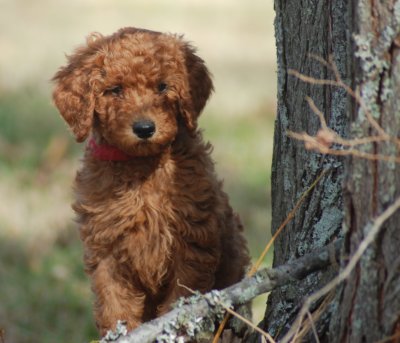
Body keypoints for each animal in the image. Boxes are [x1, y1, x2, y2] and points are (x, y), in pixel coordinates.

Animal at [51, 26, 248, 336]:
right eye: (116, 90)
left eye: (162, 87)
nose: (144, 128)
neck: (140, 168)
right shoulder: (106, 248)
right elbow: (114, 304)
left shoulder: (191, 241)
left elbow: (181, 299)